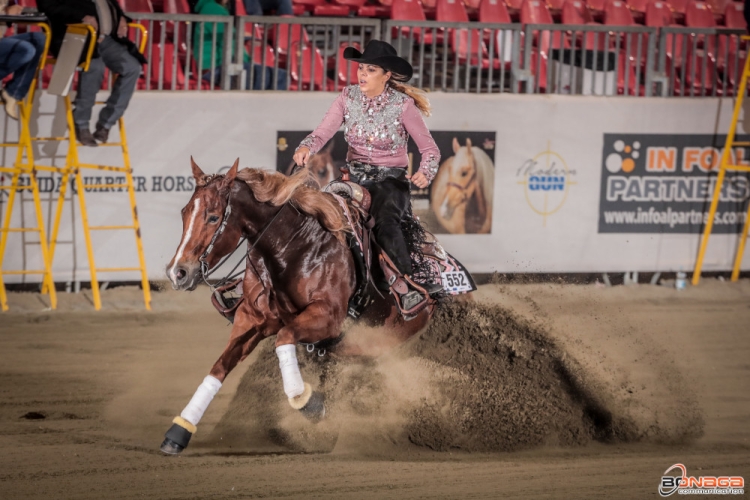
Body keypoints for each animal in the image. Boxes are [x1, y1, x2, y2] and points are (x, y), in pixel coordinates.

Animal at [162, 158, 438, 456]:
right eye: (184, 213)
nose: (178, 273)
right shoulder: (250, 320)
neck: (294, 248)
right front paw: (179, 430)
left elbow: (284, 339)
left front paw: (308, 402)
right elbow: (219, 366)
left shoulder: (327, 318)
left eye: (213, 217)